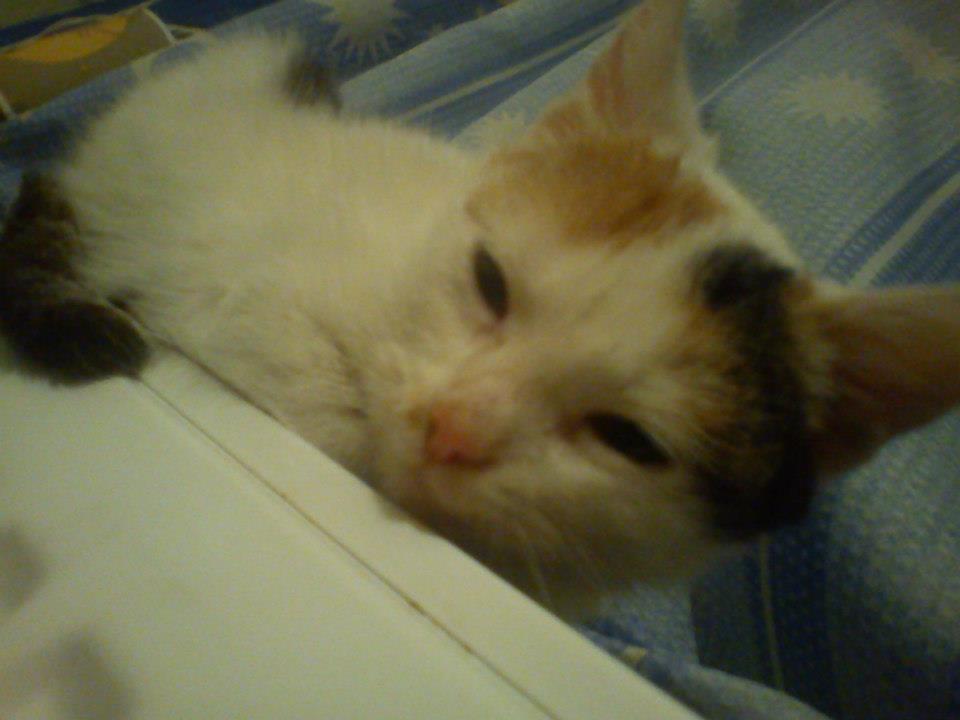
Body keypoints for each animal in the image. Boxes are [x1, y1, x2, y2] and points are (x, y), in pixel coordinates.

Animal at [2, 0, 960, 615]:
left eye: (629, 440)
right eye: (491, 282)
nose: (453, 429)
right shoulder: (244, 279)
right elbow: (311, 393)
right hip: (117, 187)